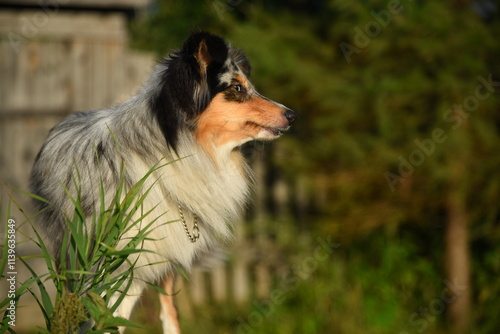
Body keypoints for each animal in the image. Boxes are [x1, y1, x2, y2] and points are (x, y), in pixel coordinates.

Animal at [29, 30, 294, 332]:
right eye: (237, 88)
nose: (292, 115)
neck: (176, 152)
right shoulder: (113, 261)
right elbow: (106, 317)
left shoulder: (155, 254)